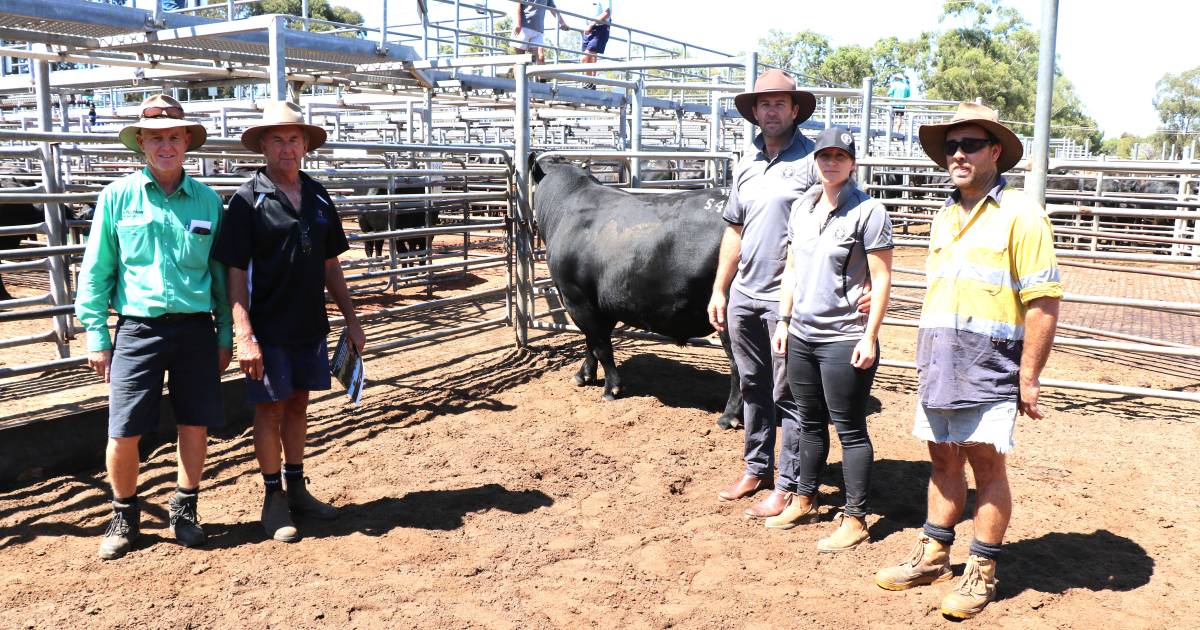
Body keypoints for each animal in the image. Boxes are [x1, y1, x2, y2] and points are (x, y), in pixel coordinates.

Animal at [532, 156, 739, 427]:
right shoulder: (599, 304)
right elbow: (591, 342)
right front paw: (584, 376)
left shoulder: (575, 297)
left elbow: (601, 345)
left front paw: (611, 388)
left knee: (741, 366)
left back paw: (729, 417)